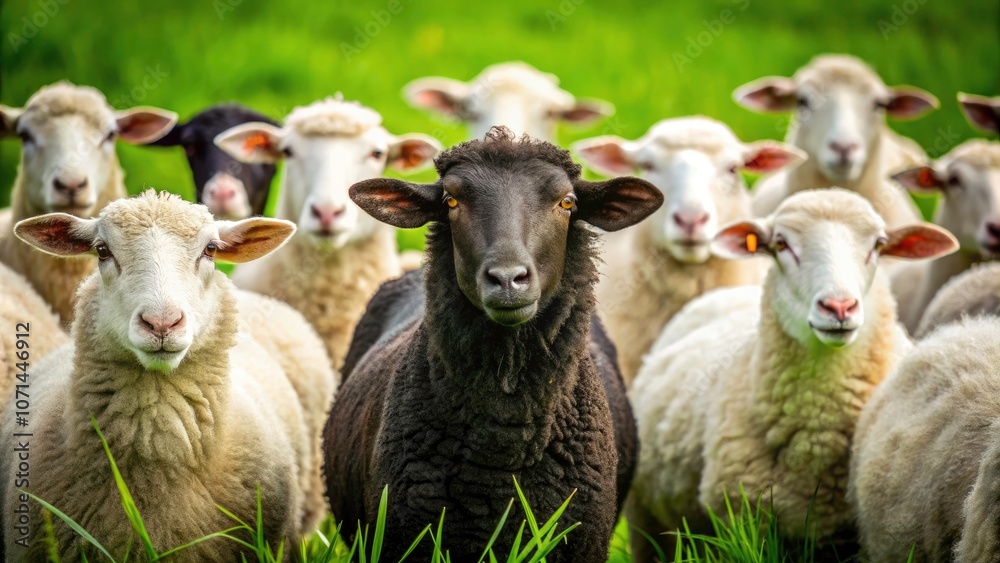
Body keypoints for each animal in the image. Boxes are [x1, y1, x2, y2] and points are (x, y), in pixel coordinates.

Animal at [627, 188, 958, 559]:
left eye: (878, 244)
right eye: (781, 243)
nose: (839, 307)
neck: (817, 434)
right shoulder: (742, 524)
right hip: (644, 517)